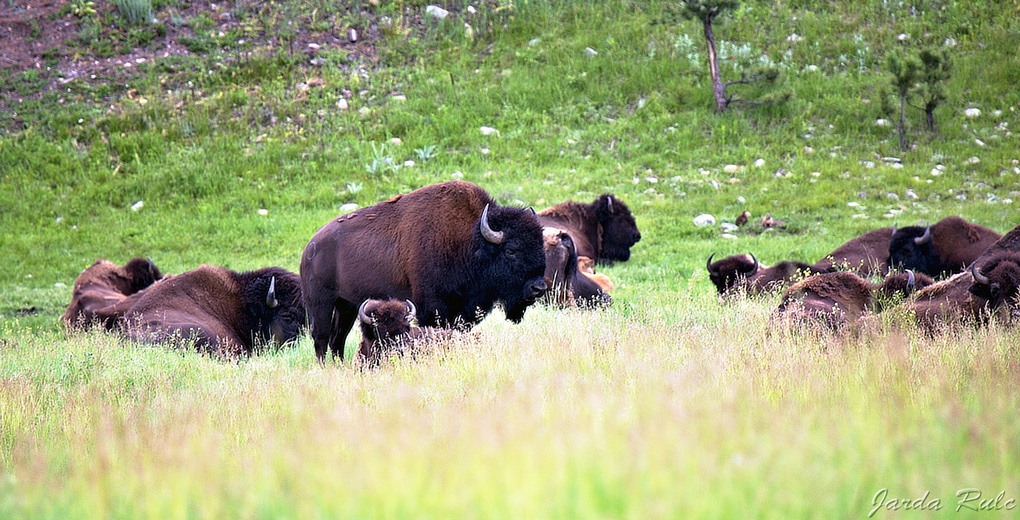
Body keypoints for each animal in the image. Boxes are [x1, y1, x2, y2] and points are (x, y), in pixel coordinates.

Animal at [297, 180, 546, 358]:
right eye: (511, 250)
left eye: (540, 243)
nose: (539, 288)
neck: (470, 241)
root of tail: (310, 248)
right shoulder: (432, 309)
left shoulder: (463, 313)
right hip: (321, 303)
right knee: (321, 339)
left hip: (346, 306)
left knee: (337, 340)